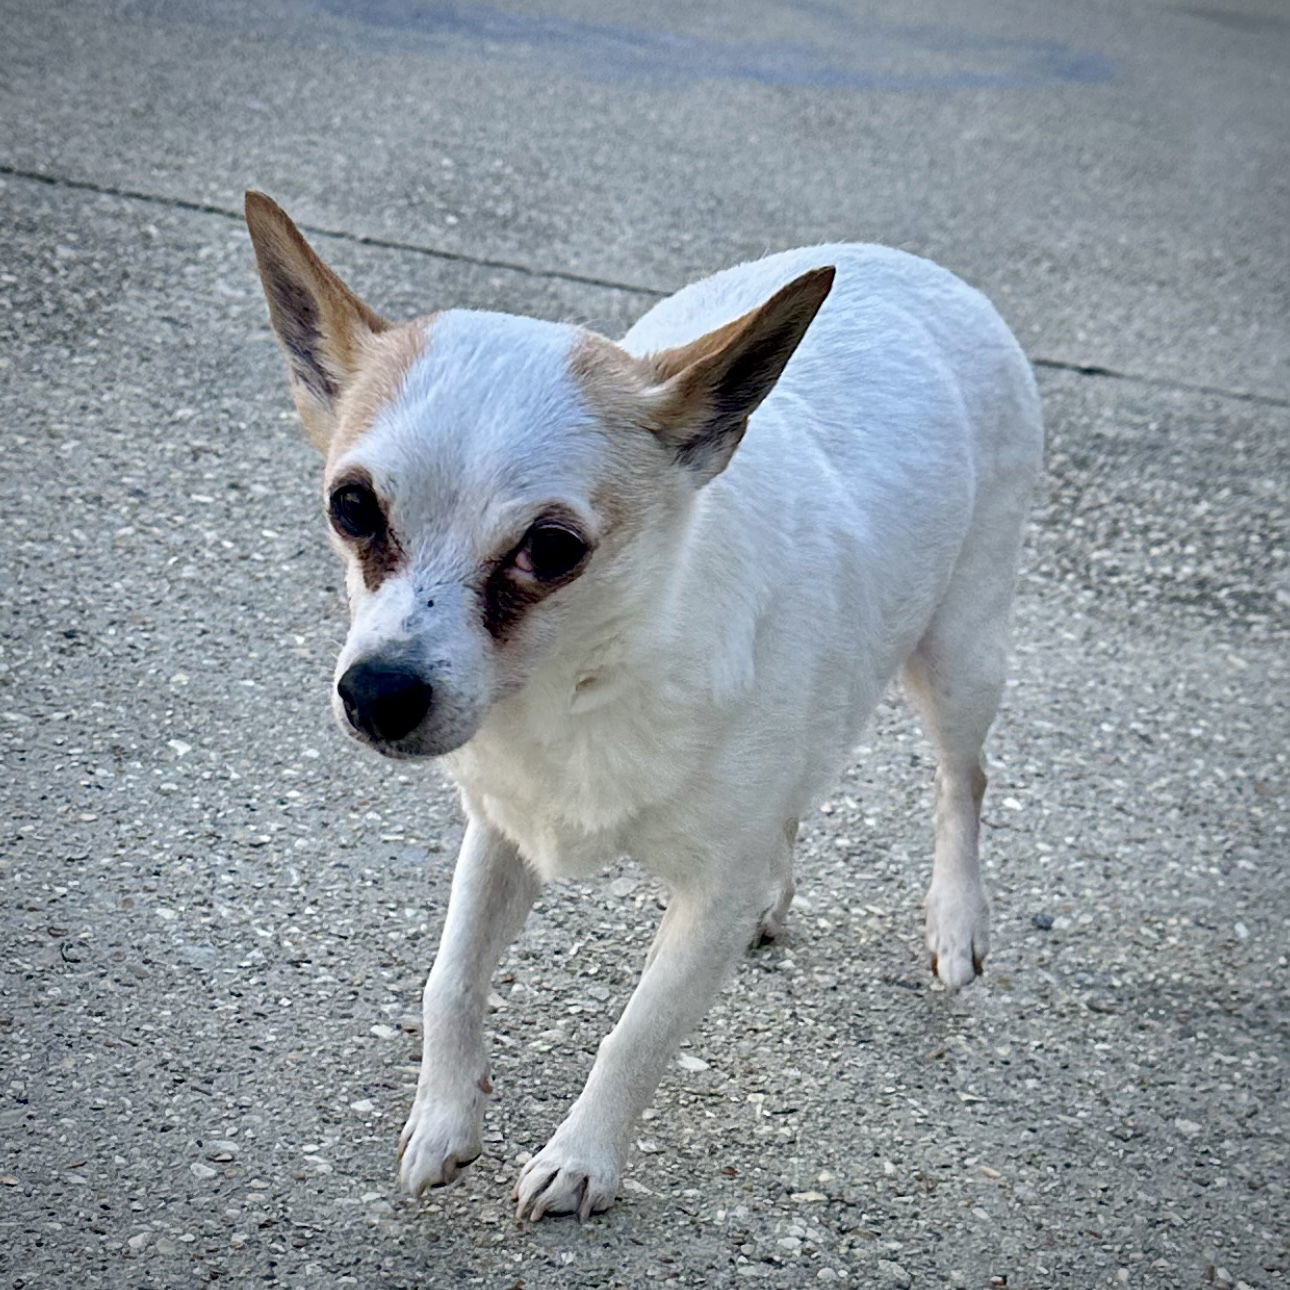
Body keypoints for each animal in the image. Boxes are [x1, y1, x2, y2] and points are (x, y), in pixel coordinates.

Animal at [246, 190, 1042, 1217]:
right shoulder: (501, 834)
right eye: (351, 508)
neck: (583, 682)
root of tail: (906, 261)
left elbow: (640, 1031)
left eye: (551, 549)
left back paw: (954, 920)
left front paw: (583, 1157)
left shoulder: (704, 902)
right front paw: (447, 1118)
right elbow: (450, 981)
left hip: (959, 657)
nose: (377, 693)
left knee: (962, 781)